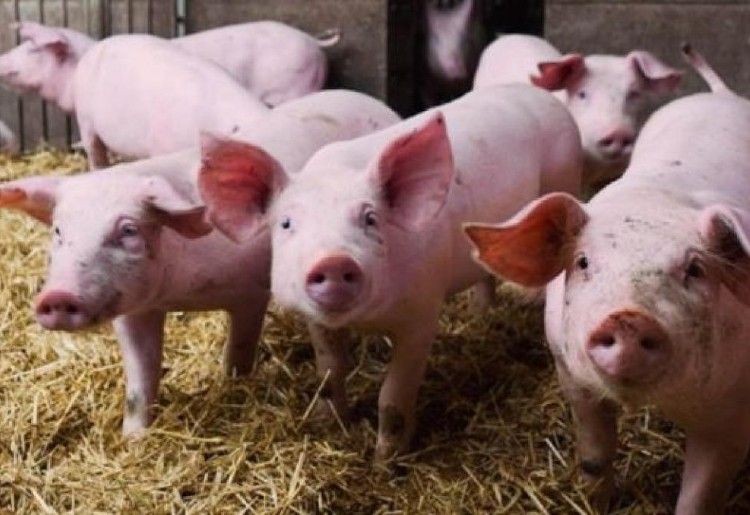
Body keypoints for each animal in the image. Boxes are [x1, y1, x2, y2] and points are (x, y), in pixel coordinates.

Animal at [0, 90, 400, 436]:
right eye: (58, 231)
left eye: (128, 230)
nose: (57, 297)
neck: (179, 292)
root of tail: (372, 102)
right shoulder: (135, 310)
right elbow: (139, 382)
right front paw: (133, 438)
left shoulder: (250, 291)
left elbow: (239, 350)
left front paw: (233, 384)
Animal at [199, 84, 583, 459]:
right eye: (286, 223)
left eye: (370, 219)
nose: (334, 261)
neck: (366, 320)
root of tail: (543, 96)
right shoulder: (318, 322)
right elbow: (330, 372)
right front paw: (330, 423)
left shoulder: (422, 316)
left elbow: (393, 397)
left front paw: (386, 461)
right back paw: (480, 314)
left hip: (564, 178)